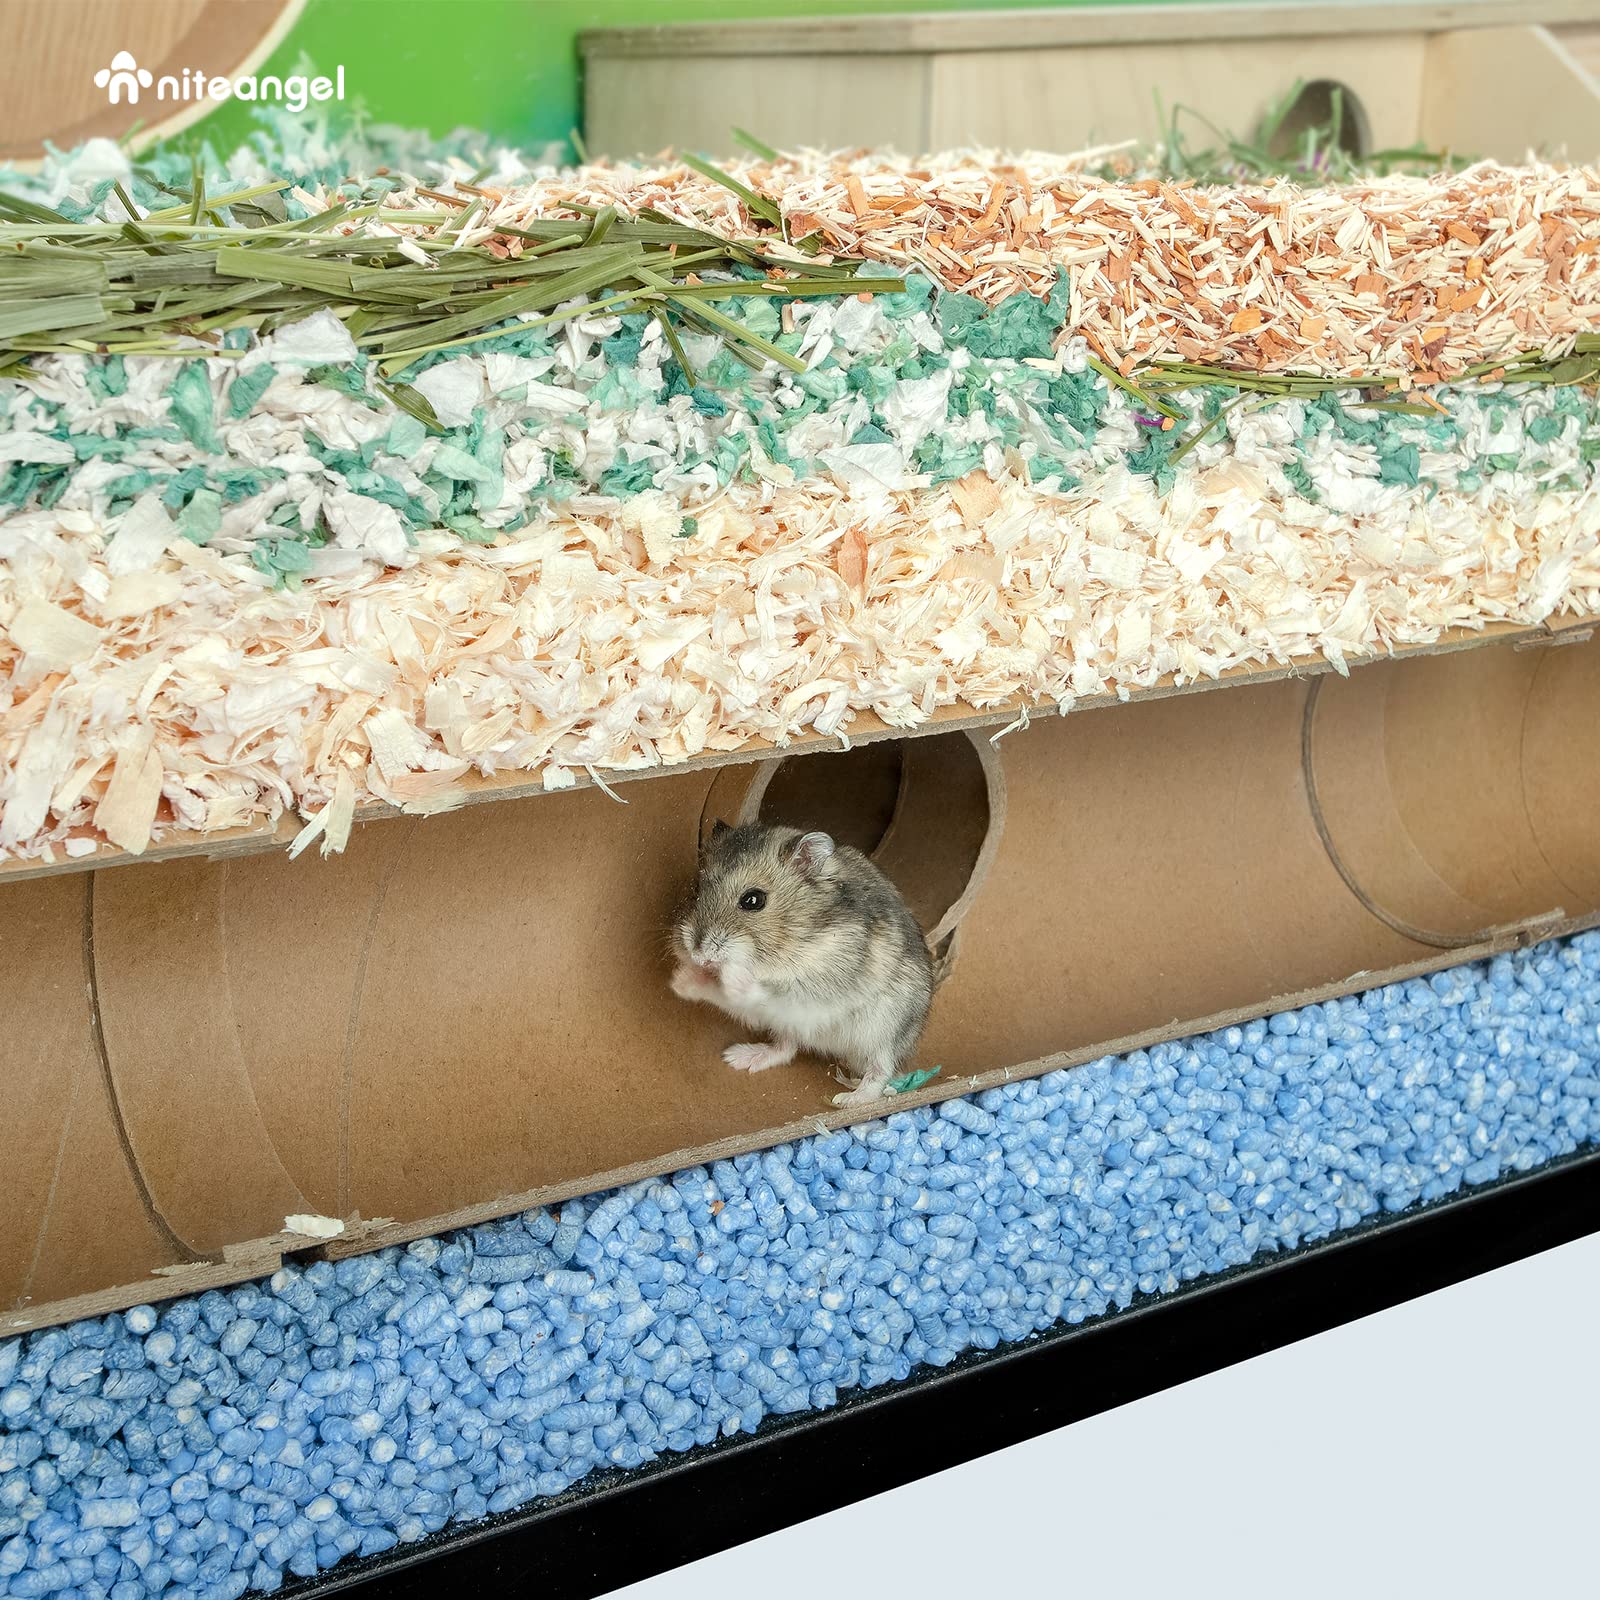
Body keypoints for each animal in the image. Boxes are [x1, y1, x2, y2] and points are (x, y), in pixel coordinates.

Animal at [670, 820, 934, 1106]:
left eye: (753, 900)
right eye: (697, 889)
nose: (697, 954)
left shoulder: (821, 983)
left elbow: (767, 990)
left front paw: (732, 974)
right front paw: (681, 980)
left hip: (884, 1031)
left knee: (881, 1072)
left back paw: (847, 1100)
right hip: (790, 1028)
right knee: (787, 1048)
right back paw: (739, 1057)